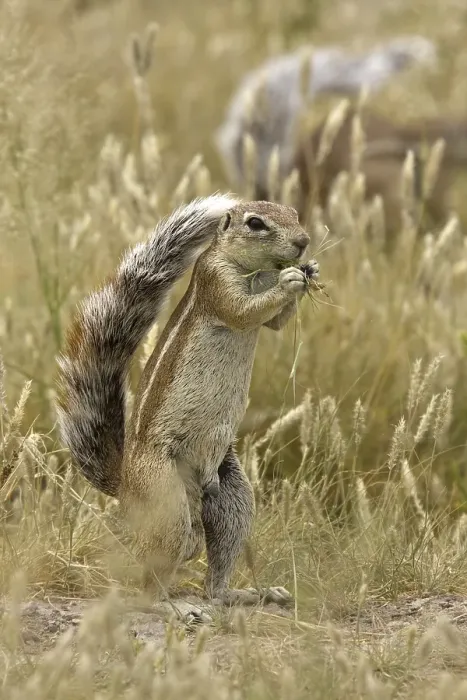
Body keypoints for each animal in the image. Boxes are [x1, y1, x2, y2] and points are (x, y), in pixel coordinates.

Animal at [56, 194, 319, 610]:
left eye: (293, 213)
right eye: (255, 223)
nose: (303, 242)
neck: (258, 271)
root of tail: (125, 482)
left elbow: (274, 323)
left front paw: (309, 271)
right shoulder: (216, 282)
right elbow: (244, 311)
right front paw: (290, 280)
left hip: (232, 495)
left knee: (216, 573)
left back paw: (249, 593)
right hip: (165, 498)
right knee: (150, 580)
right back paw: (174, 607)